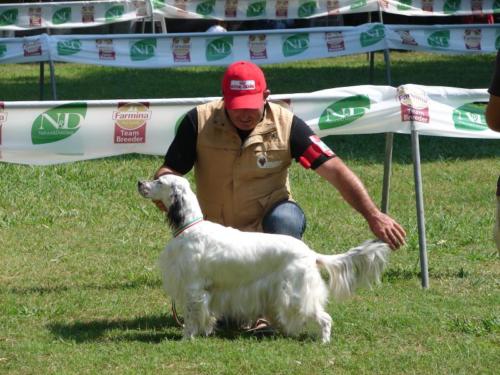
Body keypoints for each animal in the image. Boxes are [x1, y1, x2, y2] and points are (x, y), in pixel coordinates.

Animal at [137, 176, 390, 344]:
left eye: (159, 181)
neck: (191, 227)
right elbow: (206, 315)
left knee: (325, 318)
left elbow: (191, 317)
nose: (140, 183)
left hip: (296, 294)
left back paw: (323, 342)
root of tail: (310, 253)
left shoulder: (193, 287)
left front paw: (186, 338)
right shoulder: (208, 291)